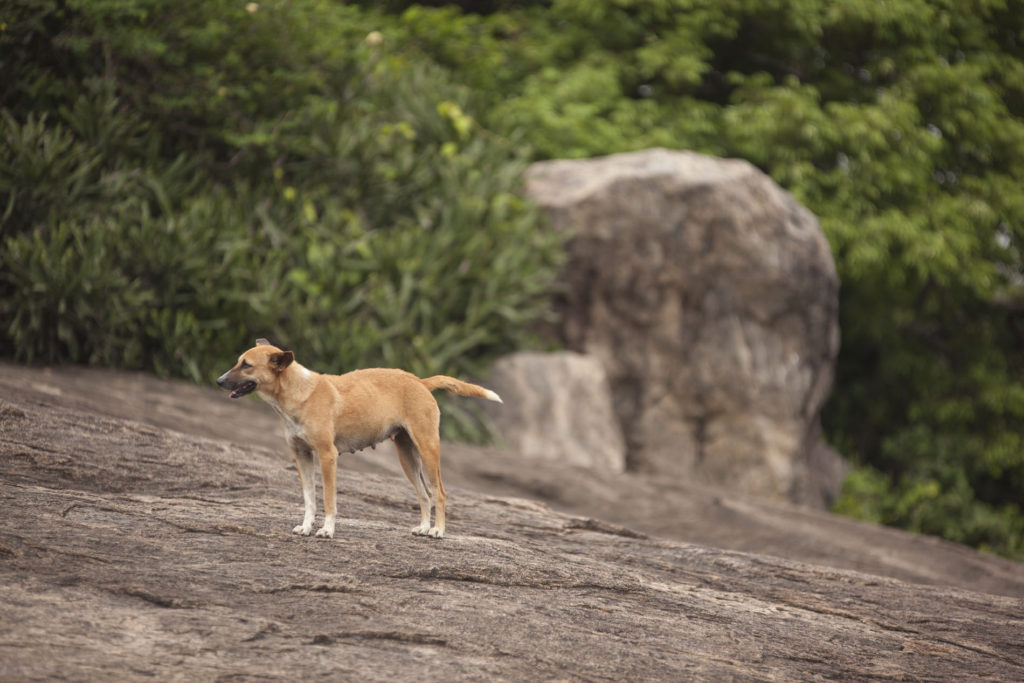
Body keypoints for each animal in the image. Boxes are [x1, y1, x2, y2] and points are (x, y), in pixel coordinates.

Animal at [218, 337, 501, 540]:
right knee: (425, 494)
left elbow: (329, 500)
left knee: (439, 492)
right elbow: (310, 499)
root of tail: (420, 381)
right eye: (238, 361)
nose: (219, 380)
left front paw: (327, 530)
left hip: (428, 449)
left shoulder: (327, 457)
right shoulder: (302, 456)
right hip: (407, 457)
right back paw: (423, 527)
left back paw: (438, 531)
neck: (299, 393)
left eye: (246, 365)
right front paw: (306, 527)